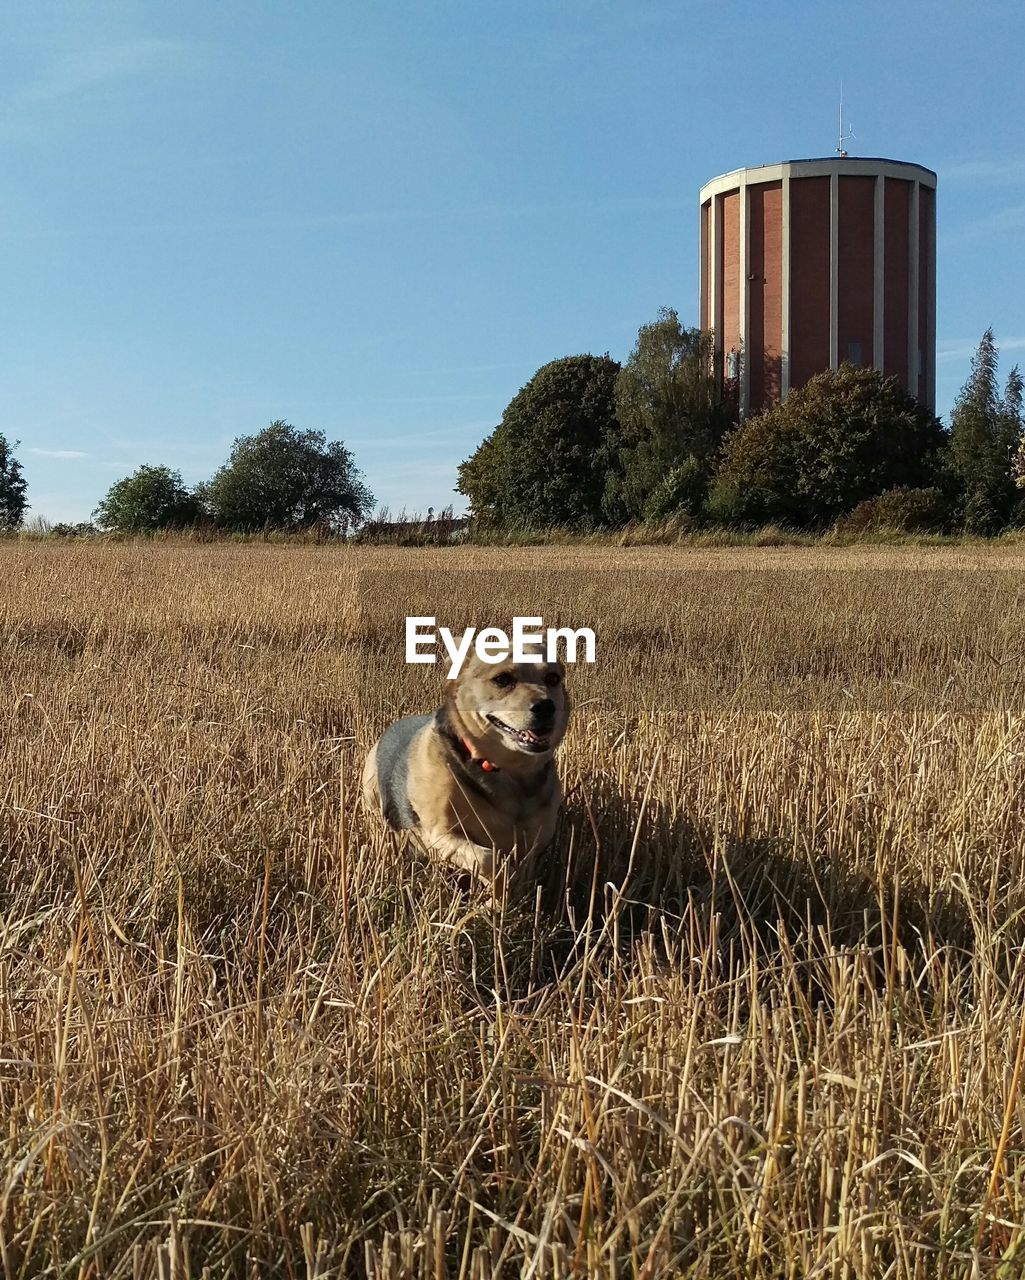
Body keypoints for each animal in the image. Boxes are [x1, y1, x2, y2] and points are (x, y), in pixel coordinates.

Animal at [360, 655, 568, 885]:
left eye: (553, 678)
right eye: (502, 679)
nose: (546, 707)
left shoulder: (534, 844)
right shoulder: (440, 836)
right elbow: (487, 859)